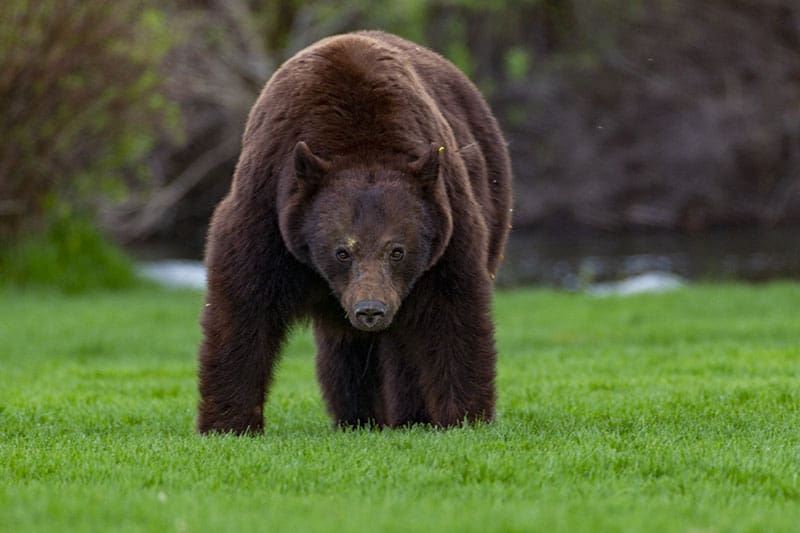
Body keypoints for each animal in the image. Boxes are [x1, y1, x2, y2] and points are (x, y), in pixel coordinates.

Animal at [197, 30, 512, 434]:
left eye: (398, 250)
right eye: (341, 251)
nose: (370, 310)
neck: (361, 143)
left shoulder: (449, 226)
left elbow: (452, 312)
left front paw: (464, 416)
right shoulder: (267, 213)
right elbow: (243, 305)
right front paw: (229, 422)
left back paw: (407, 415)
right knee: (344, 347)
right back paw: (358, 416)